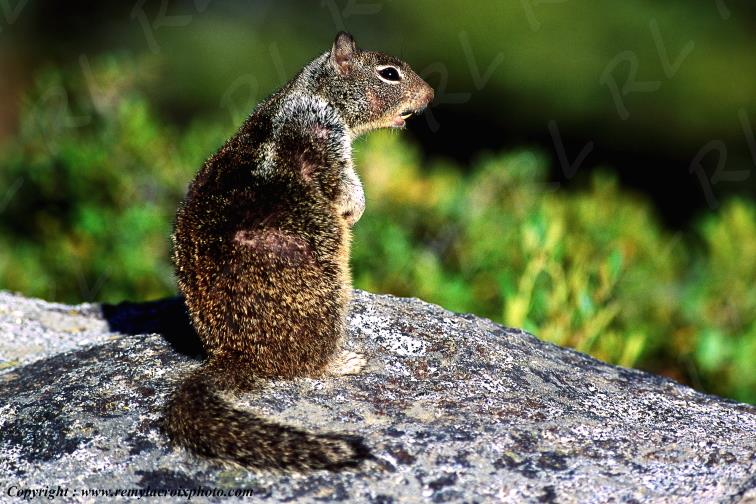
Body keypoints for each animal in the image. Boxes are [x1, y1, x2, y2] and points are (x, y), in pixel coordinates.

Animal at [165, 32, 434, 471]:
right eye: (389, 74)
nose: (430, 94)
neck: (312, 90)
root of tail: (235, 355)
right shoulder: (321, 135)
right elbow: (344, 183)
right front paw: (354, 211)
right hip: (325, 296)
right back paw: (345, 362)